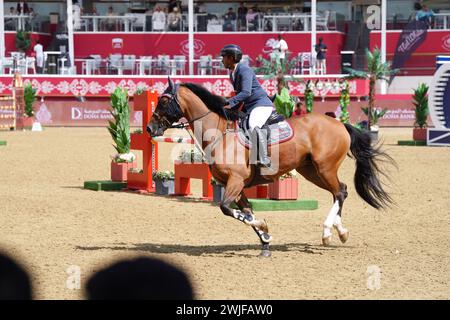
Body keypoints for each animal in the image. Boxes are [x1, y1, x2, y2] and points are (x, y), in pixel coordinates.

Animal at [148, 78, 394, 258]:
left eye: (164, 101)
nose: (150, 128)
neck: (219, 134)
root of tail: (339, 123)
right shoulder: (236, 185)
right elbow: (246, 212)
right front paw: (265, 240)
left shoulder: (235, 181)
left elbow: (227, 209)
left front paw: (263, 228)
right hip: (312, 171)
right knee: (340, 191)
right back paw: (340, 232)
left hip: (325, 168)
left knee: (340, 192)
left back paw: (328, 232)